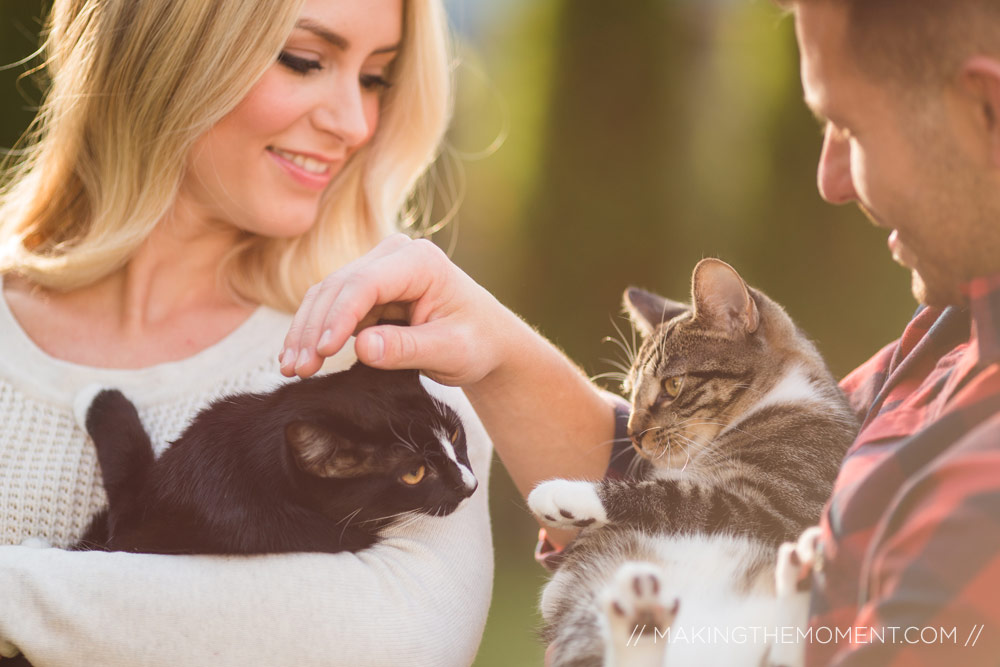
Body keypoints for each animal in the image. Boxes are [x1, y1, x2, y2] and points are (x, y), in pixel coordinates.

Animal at [532, 260, 860, 667]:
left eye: (672, 385)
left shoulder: (778, 506)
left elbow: (674, 497)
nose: (632, 433)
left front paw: (564, 495)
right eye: (630, 389)